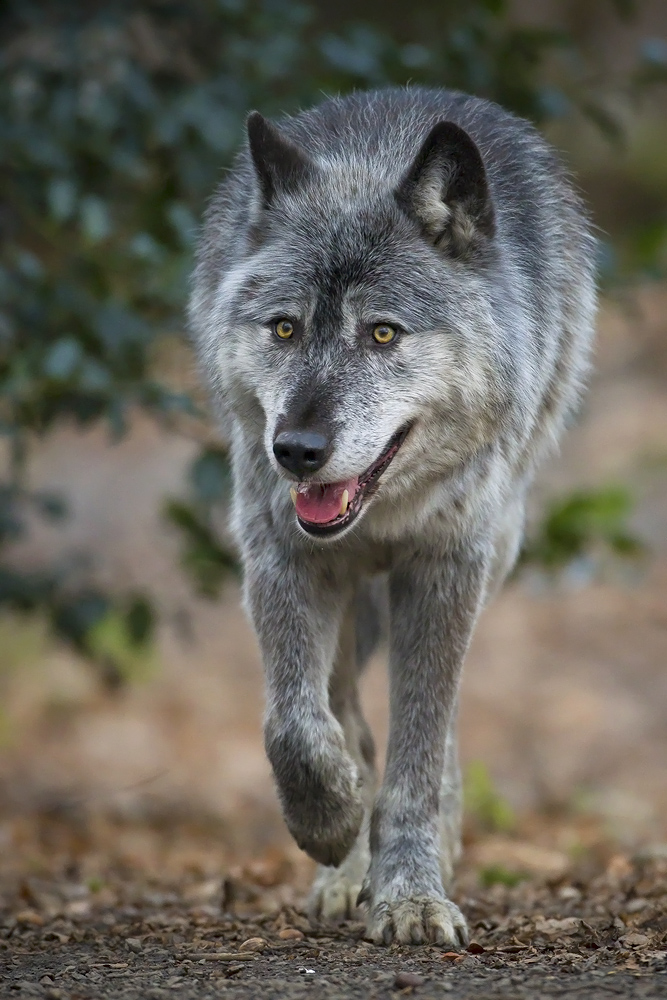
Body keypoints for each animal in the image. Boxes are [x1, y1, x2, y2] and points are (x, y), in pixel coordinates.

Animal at [189, 86, 600, 944]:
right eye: (284, 328)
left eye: (382, 333)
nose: (296, 450)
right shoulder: (279, 555)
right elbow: (296, 727)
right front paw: (330, 823)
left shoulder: (444, 568)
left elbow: (417, 756)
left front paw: (411, 894)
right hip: (343, 590)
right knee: (344, 711)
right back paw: (344, 868)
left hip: (493, 552)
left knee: (437, 729)